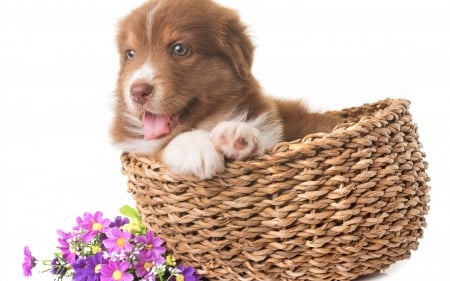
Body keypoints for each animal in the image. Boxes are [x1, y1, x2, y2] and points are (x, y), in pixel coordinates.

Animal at [111, 0, 342, 179]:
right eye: (130, 54)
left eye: (180, 49)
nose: (138, 92)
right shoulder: (140, 148)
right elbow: (160, 147)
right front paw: (195, 147)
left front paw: (236, 133)